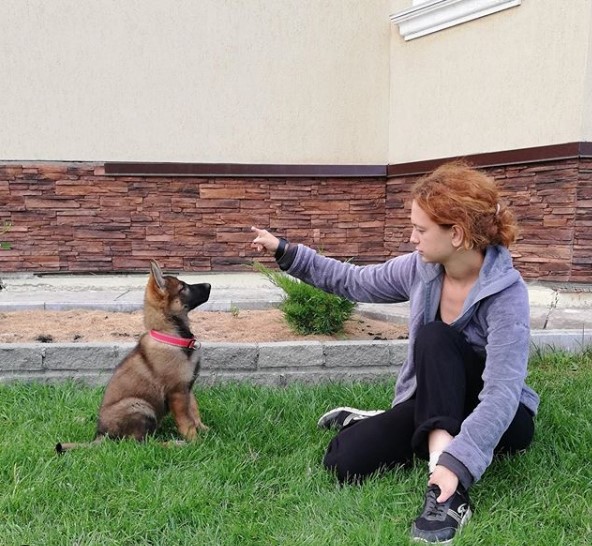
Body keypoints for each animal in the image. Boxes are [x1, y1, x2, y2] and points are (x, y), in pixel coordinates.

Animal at [55, 260, 212, 450]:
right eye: (183, 287)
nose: (209, 284)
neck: (171, 334)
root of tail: (101, 435)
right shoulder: (177, 392)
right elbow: (186, 421)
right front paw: (196, 442)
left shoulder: (187, 388)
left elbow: (194, 410)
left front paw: (203, 430)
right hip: (140, 406)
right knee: (142, 443)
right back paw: (174, 444)